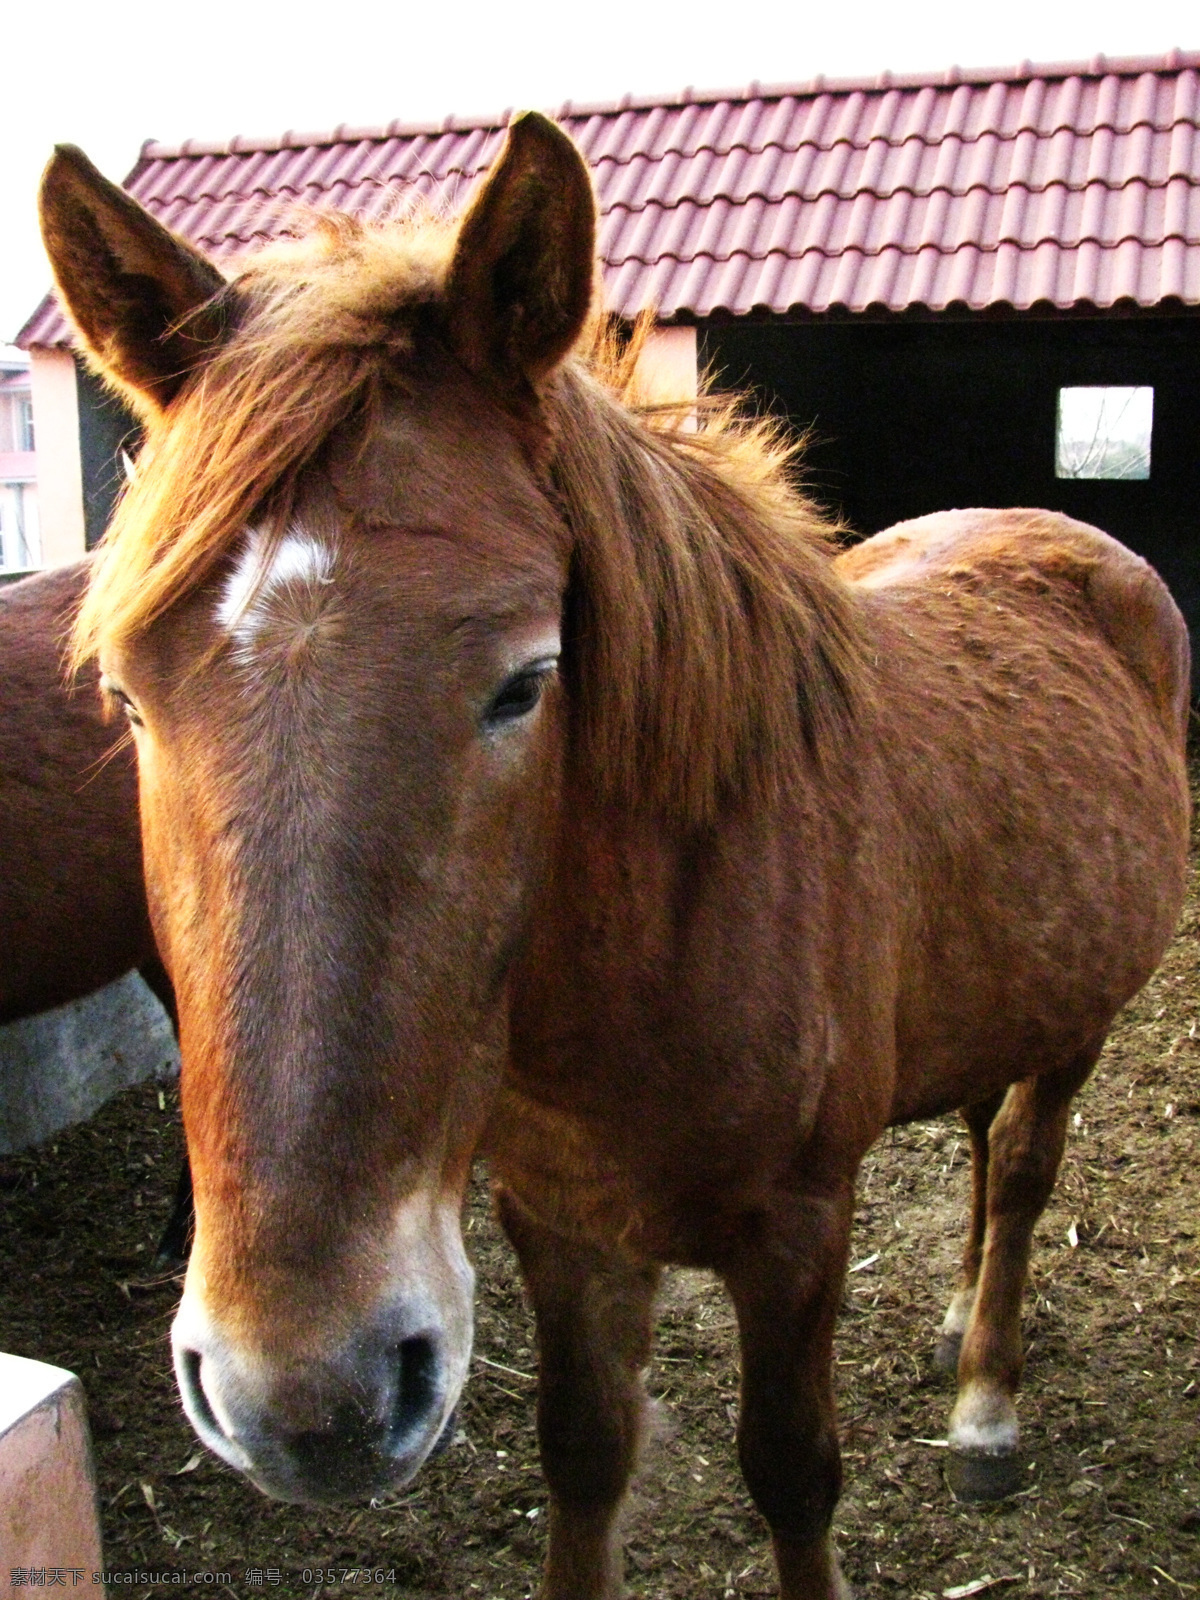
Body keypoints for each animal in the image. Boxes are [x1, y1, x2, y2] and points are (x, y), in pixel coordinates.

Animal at [40, 116, 1196, 1600]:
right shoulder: (559, 1222)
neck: (651, 957)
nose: (307, 1399)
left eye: (527, 679)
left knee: (1027, 1163)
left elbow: (793, 1474)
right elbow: (584, 1457)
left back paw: (985, 1400)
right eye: (128, 698)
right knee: (990, 1138)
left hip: (1082, 1020)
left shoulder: (799, 1231)